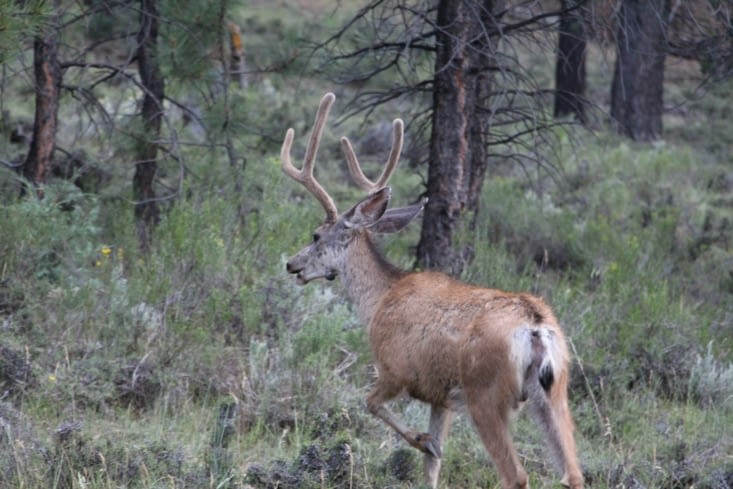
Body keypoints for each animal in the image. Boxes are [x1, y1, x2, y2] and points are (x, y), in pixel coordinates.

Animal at [281, 92, 584, 489]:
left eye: (316, 235)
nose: (292, 264)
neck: (379, 299)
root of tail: (535, 328)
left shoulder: (395, 370)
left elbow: (370, 403)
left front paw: (422, 440)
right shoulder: (442, 398)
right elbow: (432, 466)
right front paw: (430, 445)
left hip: (486, 393)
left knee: (516, 476)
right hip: (556, 390)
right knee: (573, 472)